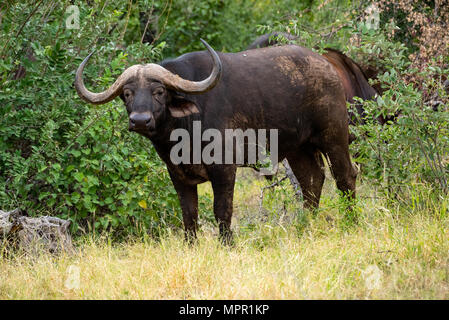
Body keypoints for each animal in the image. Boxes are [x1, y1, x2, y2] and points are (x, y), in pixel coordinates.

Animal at [74, 40, 356, 245]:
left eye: (159, 91)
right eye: (127, 94)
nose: (140, 120)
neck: (184, 132)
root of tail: (327, 66)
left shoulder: (224, 169)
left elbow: (222, 209)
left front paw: (226, 243)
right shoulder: (178, 175)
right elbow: (189, 214)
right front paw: (190, 246)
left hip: (334, 136)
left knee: (345, 176)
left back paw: (350, 220)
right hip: (298, 148)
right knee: (312, 181)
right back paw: (305, 224)